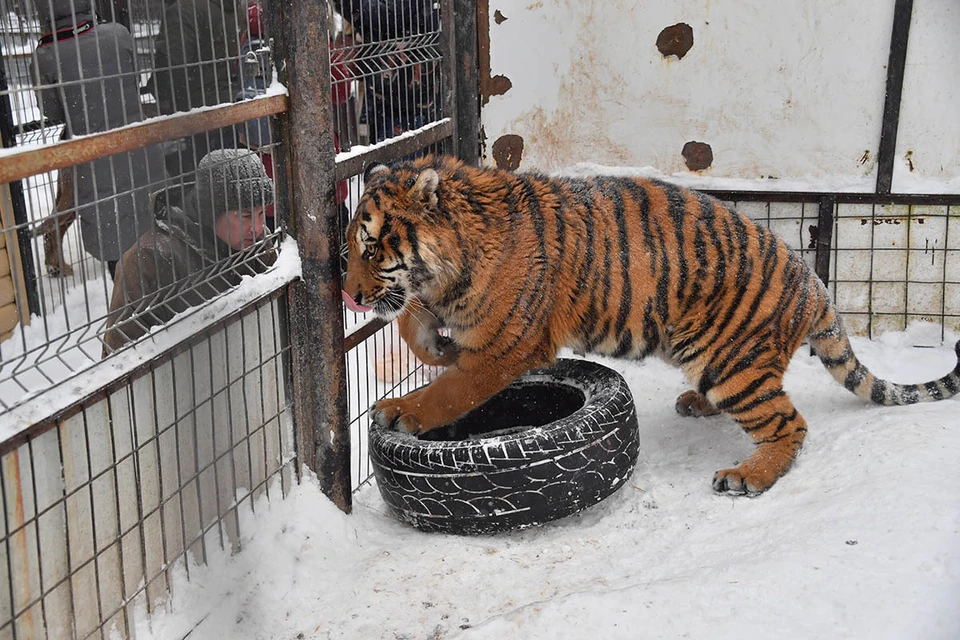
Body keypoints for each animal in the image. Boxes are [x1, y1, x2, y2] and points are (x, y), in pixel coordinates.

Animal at [344, 155, 960, 496]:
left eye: (372, 248)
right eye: (351, 248)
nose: (349, 296)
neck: (449, 267)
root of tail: (814, 284)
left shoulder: (507, 346)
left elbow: (451, 391)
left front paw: (401, 411)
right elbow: (410, 327)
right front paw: (435, 348)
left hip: (732, 362)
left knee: (790, 424)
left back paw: (748, 477)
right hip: (716, 359)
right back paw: (697, 405)